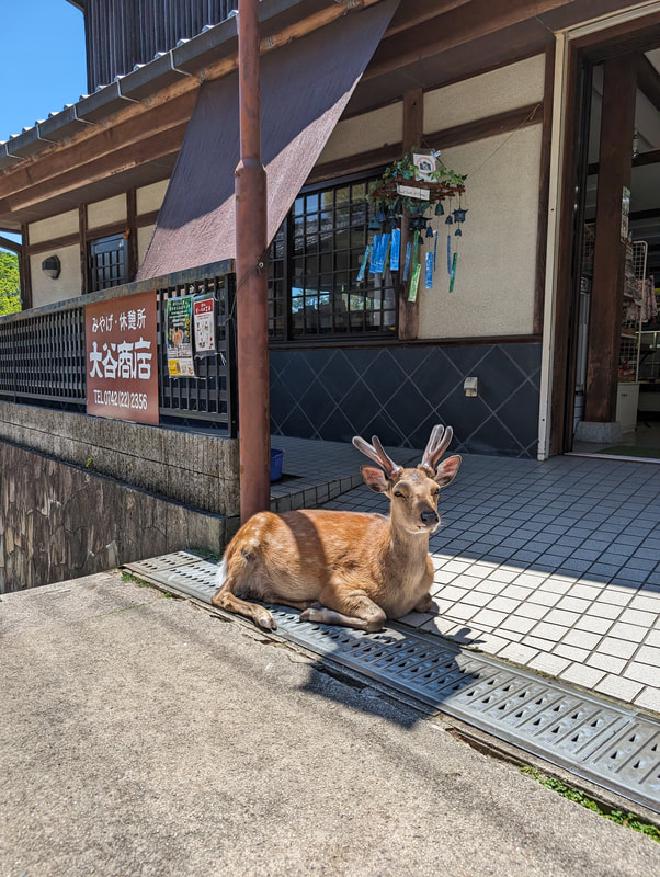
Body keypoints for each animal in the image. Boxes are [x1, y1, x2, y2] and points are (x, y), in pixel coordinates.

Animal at [209, 424, 462, 628]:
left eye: (436, 490)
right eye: (399, 492)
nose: (429, 516)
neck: (402, 592)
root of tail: (229, 548)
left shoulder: (424, 596)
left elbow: (428, 603)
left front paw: (313, 609)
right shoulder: (337, 583)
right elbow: (378, 617)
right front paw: (317, 613)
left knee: (262, 593)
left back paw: (303, 603)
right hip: (245, 551)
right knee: (221, 594)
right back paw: (266, 616)